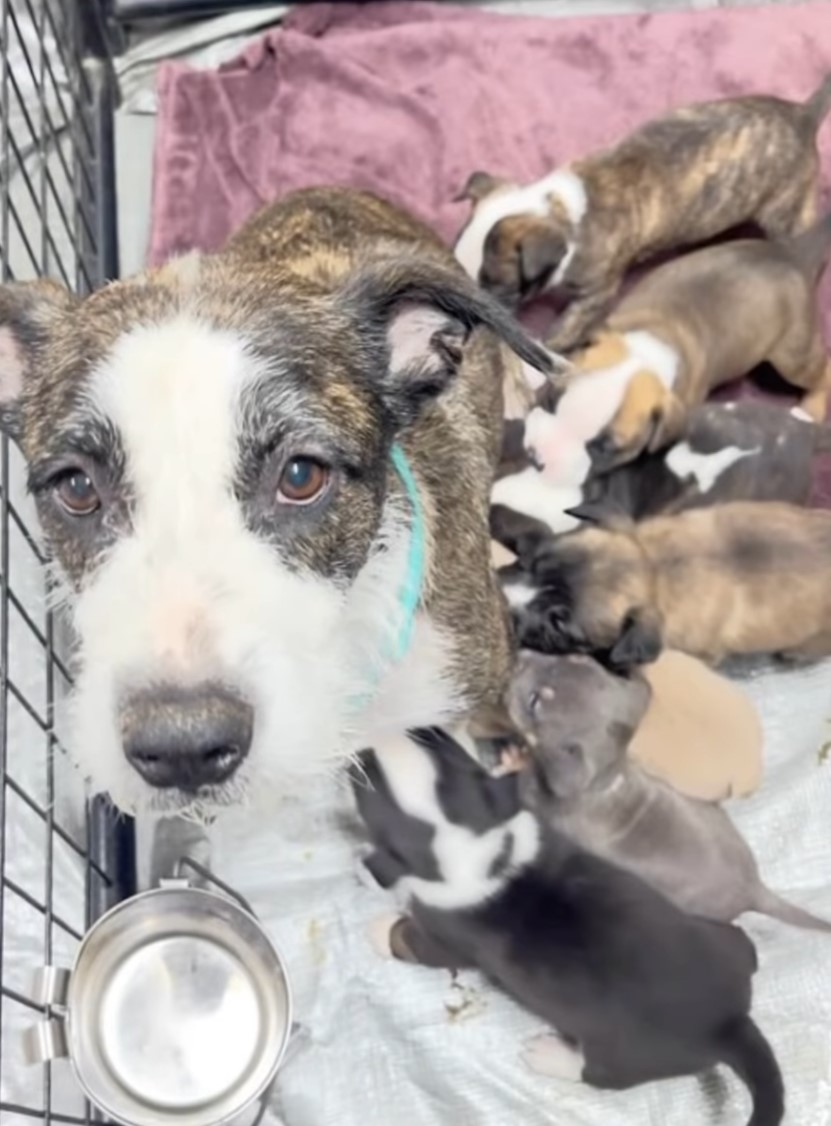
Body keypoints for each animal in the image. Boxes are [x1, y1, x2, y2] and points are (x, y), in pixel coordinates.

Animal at [351, 725, 783, 1121]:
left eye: (368, 782)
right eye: (432, 737)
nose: (359, 752)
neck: (481, 841)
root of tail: (732, 1024)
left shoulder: (444, 936)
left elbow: (412, 938)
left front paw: (380, 923)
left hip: (628, 1052)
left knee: (603, 1074)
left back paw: (552, 1057)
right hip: (718, 941)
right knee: (743, 947)